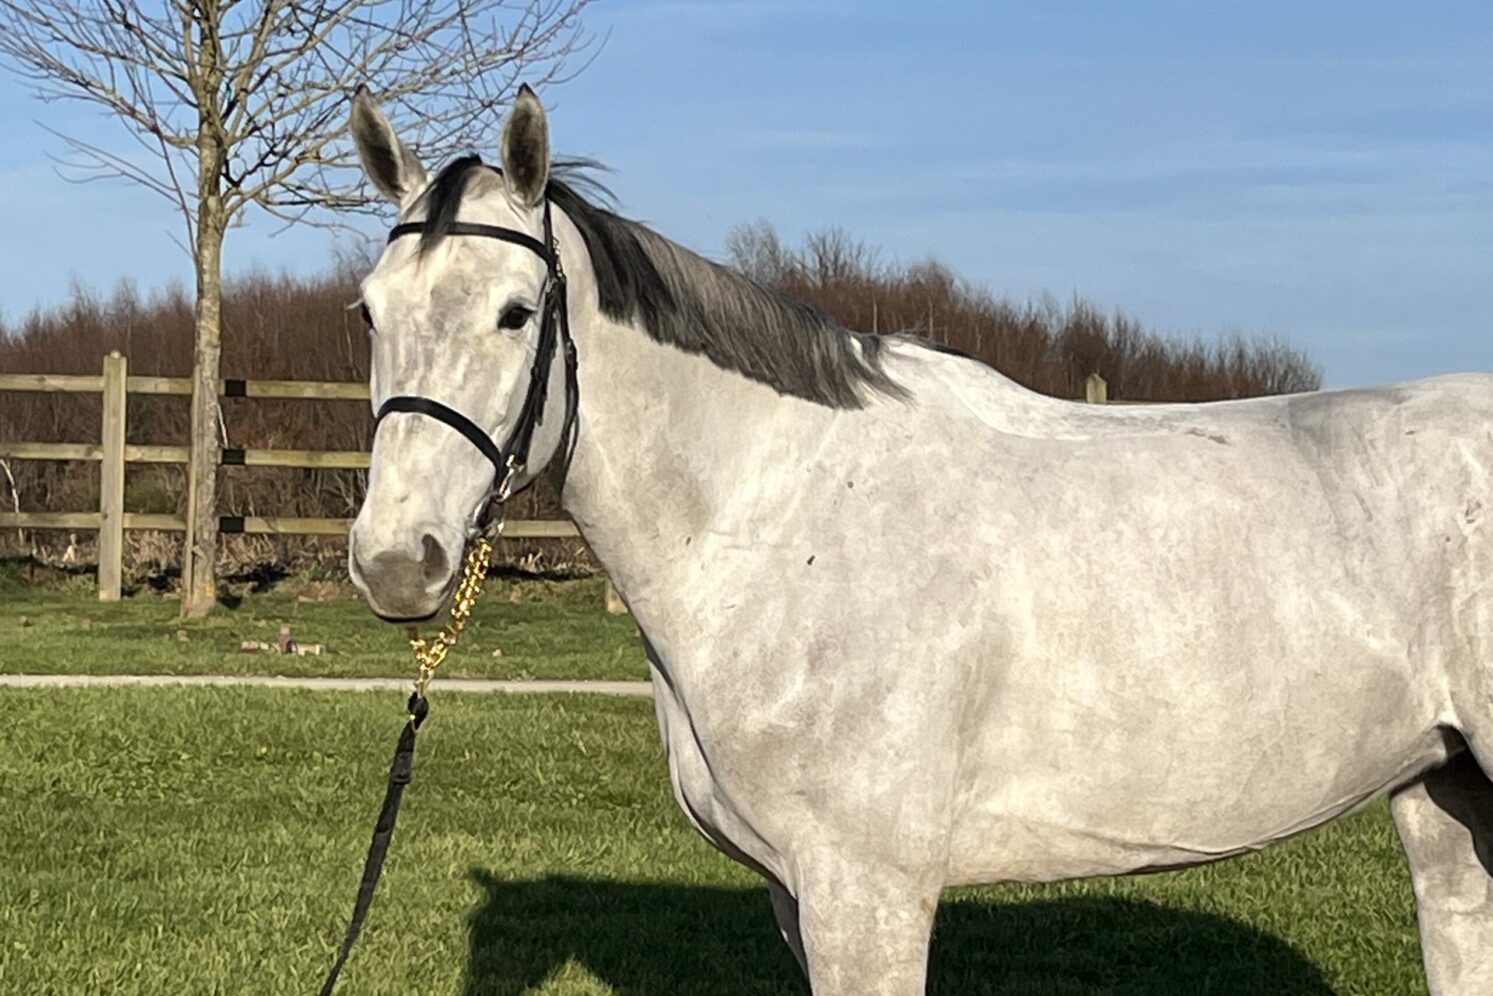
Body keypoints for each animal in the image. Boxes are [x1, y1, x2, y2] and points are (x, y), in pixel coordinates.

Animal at [344, 84, 1493, 995]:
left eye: (515, 311)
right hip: (1442, 808)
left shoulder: (867, 893)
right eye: (367, 312)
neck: (785, 520)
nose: (397, 560)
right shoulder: (799, 898)